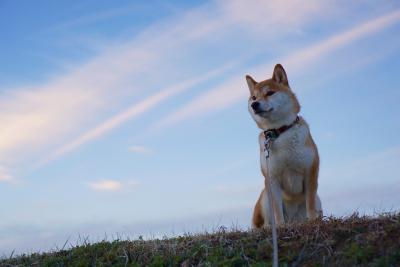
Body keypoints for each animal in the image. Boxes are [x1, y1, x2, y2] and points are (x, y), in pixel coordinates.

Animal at [245, 64, 324, 228]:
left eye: (269, 93)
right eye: (254, 97)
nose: (254, 104)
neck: (280, 132)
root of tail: (294, 221)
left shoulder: (310, 172)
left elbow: (310, 203)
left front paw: (312, 221)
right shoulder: (272, 178)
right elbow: (276, 209)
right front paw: (280, 226)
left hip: (318, 201)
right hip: (264, 196)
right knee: (264, 222)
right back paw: (270, 227)